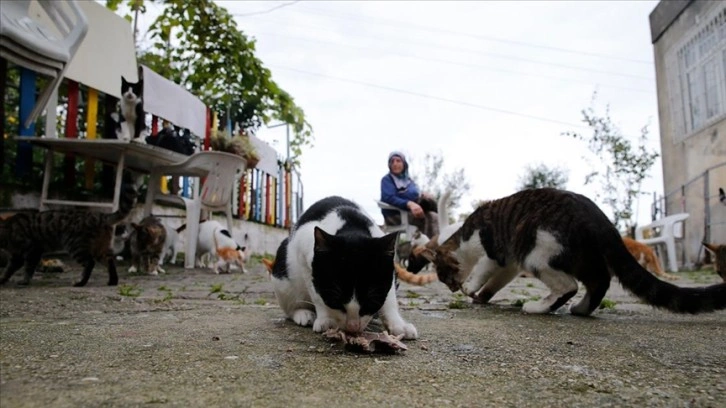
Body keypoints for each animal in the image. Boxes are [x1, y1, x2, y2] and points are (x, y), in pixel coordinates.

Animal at [0, 185, 138, 286]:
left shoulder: (32, 250)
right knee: (109, 261)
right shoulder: (17, 255)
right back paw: (113, 281)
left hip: (75, 246)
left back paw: (81, 282)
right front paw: (3, 279)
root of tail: (100, 215)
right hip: (99, 249)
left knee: (90, 263)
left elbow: (27, 268)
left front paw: (23, 281)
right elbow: (9, 269)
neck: (6, 231)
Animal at [272, 194, 420, 338]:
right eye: (335, 301)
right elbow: (317, 295)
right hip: (283, 276)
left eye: (370, 302)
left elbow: (389, 298)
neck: (352, 224)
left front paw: (399, 324)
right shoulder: (304, 255)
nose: (352, 327)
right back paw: (303, 313)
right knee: (290, 308)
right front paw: (326, 319)